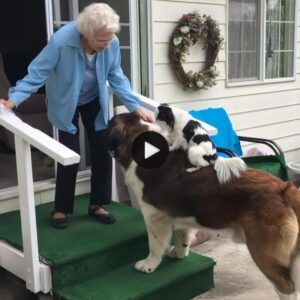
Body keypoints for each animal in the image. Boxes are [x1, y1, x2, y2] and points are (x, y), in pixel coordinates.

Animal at [107, 112, 300, 300]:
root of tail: (284, 189)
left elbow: (154, 244)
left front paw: (149, 265)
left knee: (287, 286)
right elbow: (182, 236)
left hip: (264, 251)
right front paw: (178, 254)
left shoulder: (154, 216)